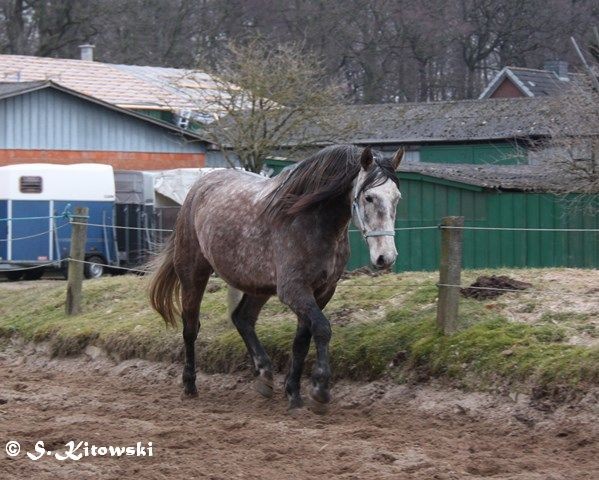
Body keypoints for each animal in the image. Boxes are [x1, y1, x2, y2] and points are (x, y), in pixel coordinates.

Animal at [148, 144, 406, 410]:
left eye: (396, 197)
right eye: (369, 197)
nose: (386, 257)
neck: (310, 220)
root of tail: (198, 188)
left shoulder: (322, 291)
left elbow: (302, 340)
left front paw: (294, 392)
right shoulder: (294, 290)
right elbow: (322, 329)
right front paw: (320, 389)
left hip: (257, 285)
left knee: (242, 319)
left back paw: (264, 376)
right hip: (193, 275)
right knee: (191, 327)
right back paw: (190, 385)